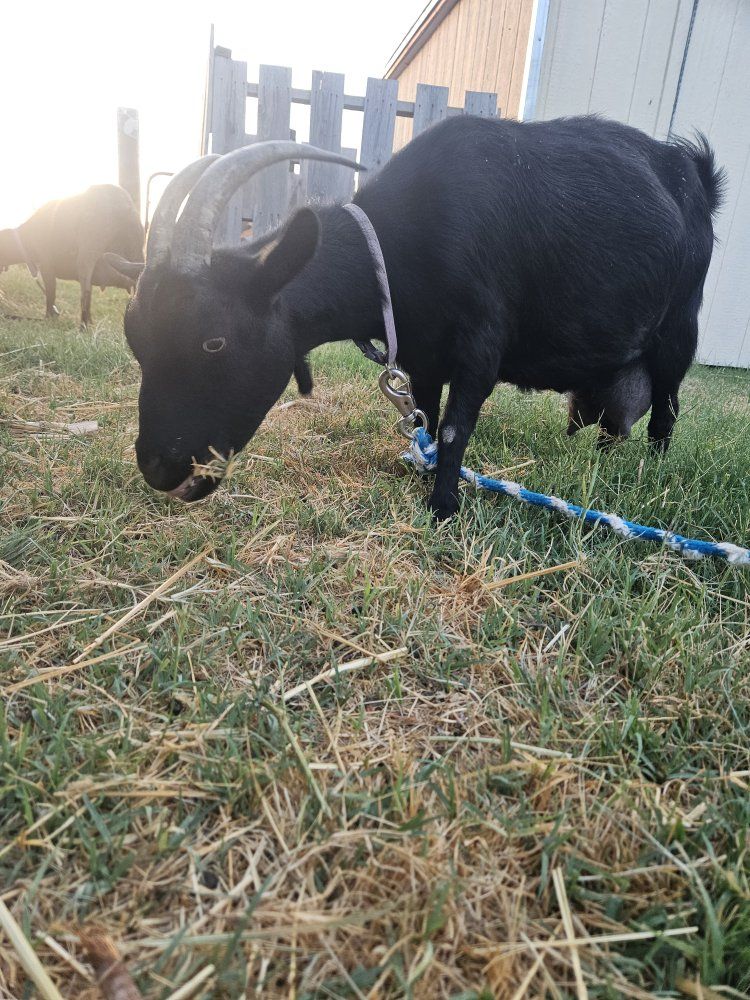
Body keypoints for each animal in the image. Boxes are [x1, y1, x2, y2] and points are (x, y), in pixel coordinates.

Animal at [0, 185, 144, 327]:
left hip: (87, 255)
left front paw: (48, 318)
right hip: (136, 256)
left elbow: (51, 294)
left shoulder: (47, 266)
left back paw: (82, 327)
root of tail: (123, 206)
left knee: (84, 293)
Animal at [106, 116, 723, 518]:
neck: (399, 246)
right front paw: (417, 471)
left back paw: (653, 474)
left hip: (680, 328)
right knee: (614, 424)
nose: (158, 468)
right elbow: (425, 415)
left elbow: (453, 426)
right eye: (136, 340)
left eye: (213, 341)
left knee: (667, 409)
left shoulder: (482, 342)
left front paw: (442, 506)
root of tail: (694, 170)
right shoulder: (425, 355)